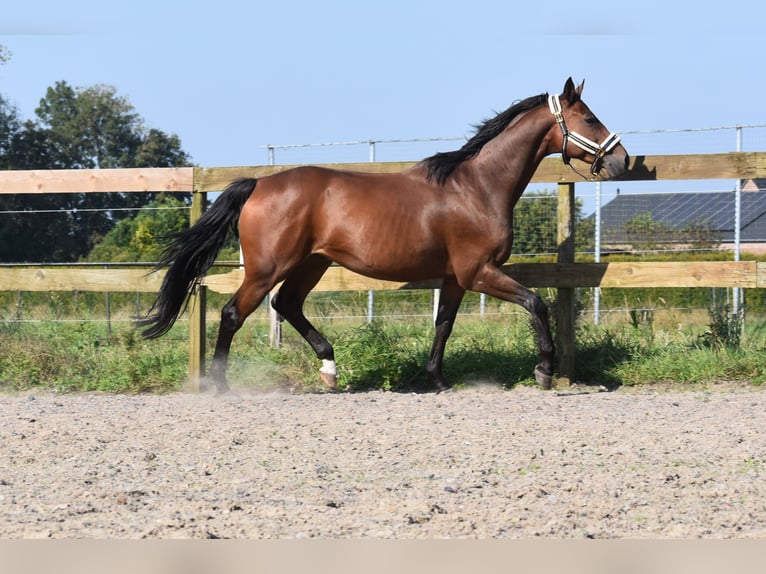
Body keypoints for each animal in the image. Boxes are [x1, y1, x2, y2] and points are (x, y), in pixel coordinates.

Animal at [140, 79, 632, 394]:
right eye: (589, 118)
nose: (622, 160)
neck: (477, 186)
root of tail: (258, 184)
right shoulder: (479, 272)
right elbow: (537, 303)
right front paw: (545, 370)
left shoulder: (455, 279)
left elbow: (443, 325)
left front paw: (437, 379)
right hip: (267, 268)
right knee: (233, 313)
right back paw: (220, 384)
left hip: (312, 263)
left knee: (288, 305)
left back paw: (331, 369)